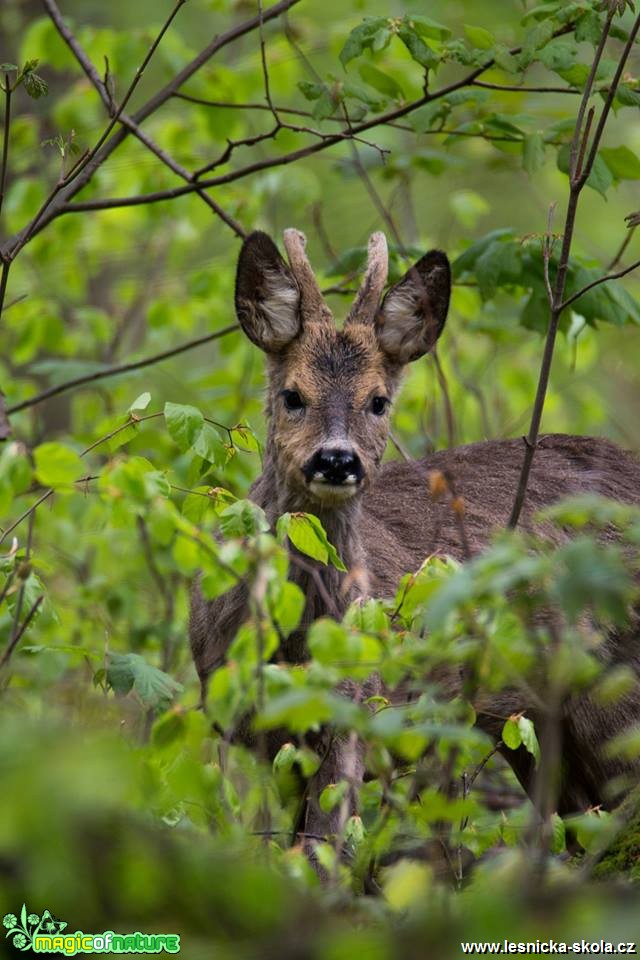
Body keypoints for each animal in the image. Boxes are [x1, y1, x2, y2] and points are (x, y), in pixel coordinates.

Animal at [190, 229, 640, 860]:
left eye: (378, 400)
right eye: (292, 395)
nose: (336, 459)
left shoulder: (356, 711)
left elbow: (326, 853)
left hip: (613, 686)